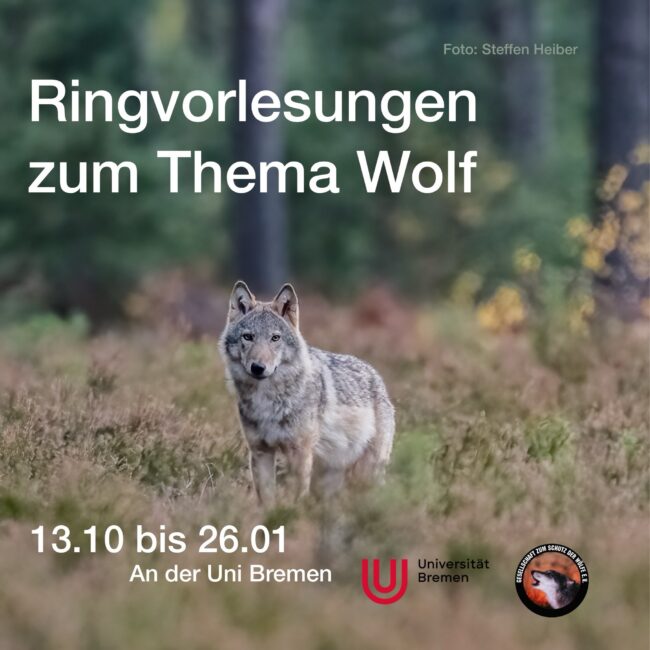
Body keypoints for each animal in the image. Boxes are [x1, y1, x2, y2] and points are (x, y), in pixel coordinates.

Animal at [219, 281, 395, 507]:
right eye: (248, 337)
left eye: (275, 338)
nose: (258, 368)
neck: (267, 401)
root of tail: (376, 376)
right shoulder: (260, 451)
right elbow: (266, 499)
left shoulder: (299, 453)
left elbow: (297, 498)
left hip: (366, 473)